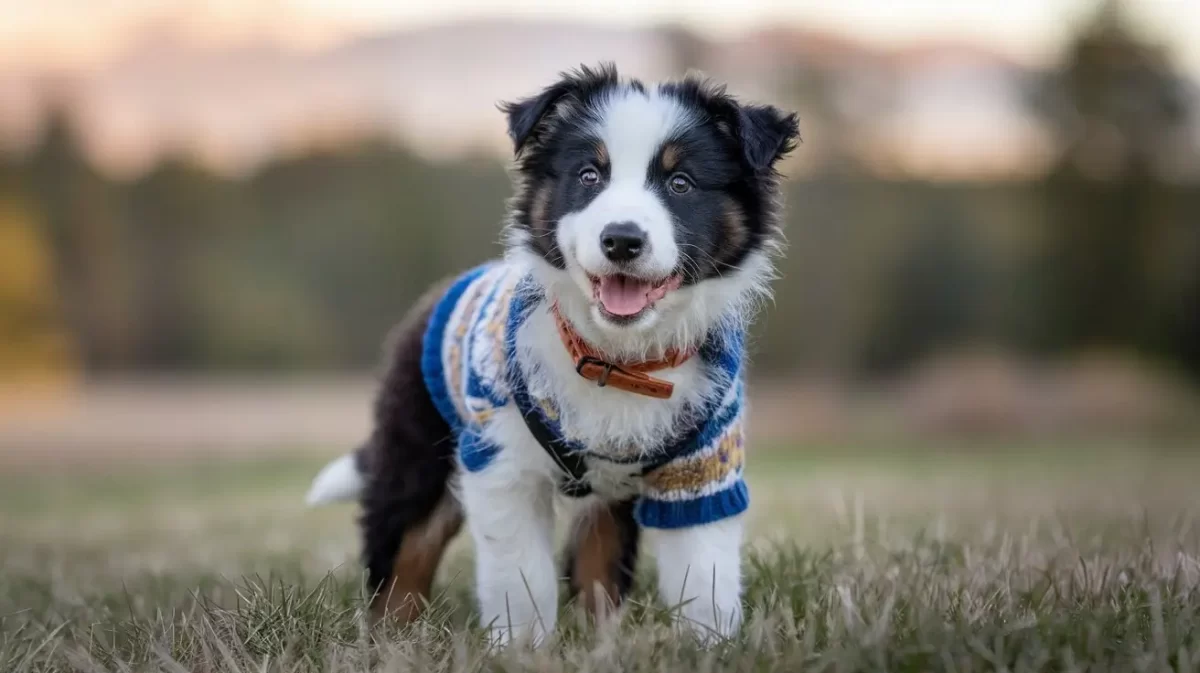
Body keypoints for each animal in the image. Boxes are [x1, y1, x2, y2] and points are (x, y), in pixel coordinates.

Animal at [307, 64, 796, 647]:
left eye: (681, 183)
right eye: (589, 176)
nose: (621, 240)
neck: (617, 360)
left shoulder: (703, 468)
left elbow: (705, 577)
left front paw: (709, 648)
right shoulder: (502, 463)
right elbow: (522, 578)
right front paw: (522, 648)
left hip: (601, 499)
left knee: (597, 565)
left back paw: (601, 642)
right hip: (418, 451)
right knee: (404, 552)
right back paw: (390, 640)